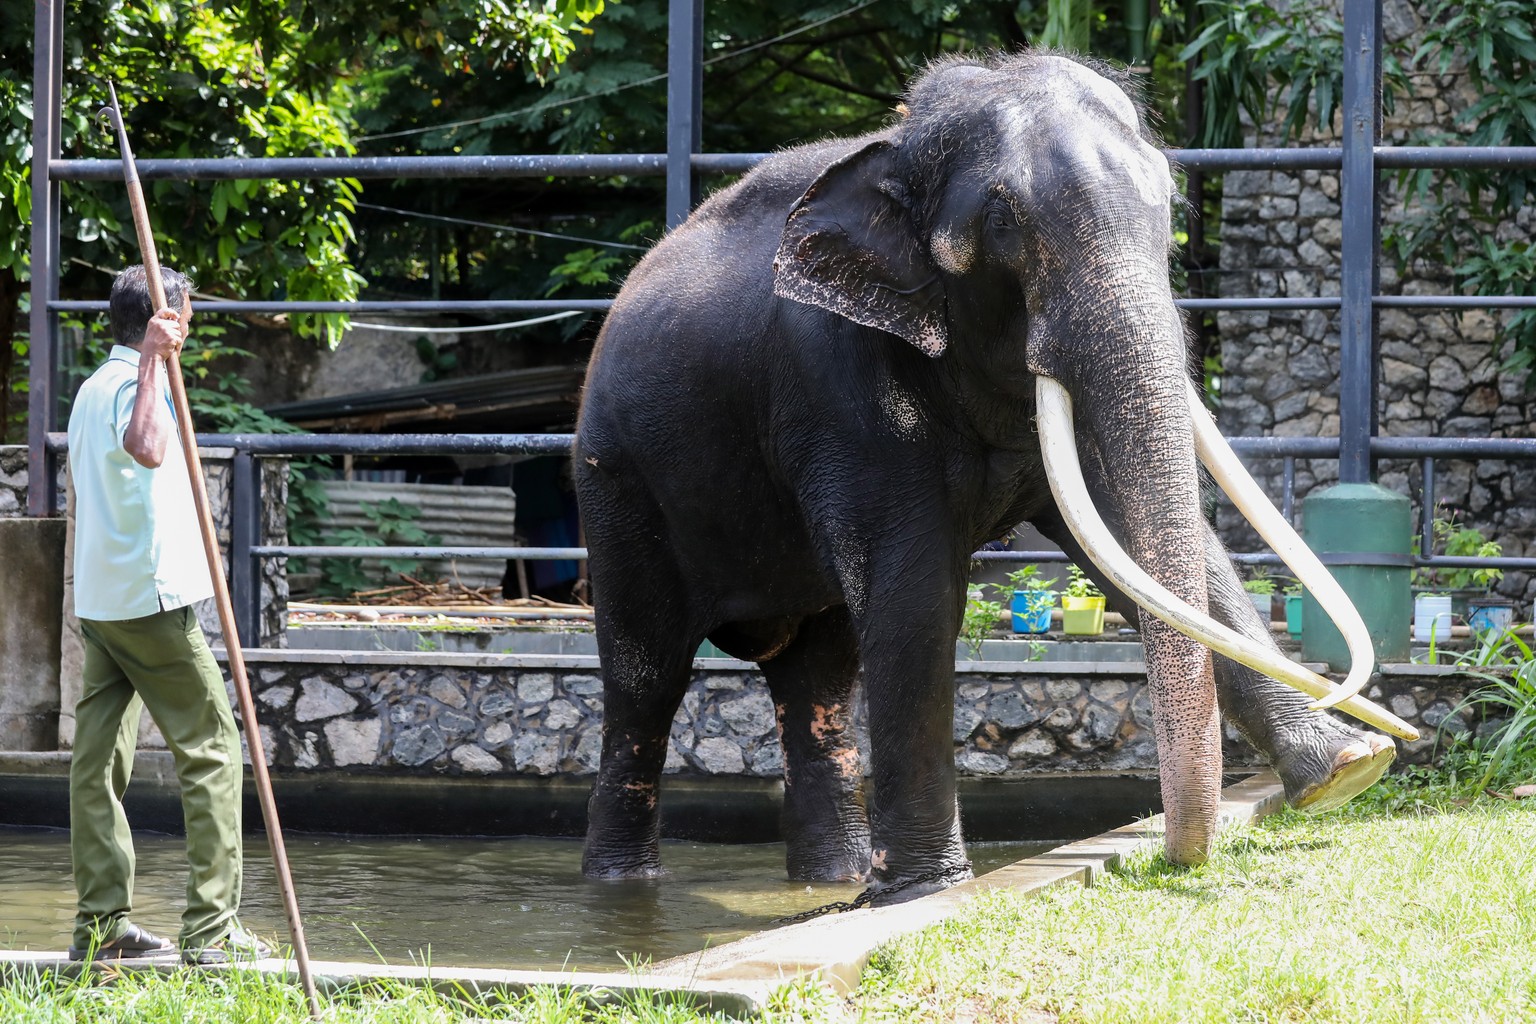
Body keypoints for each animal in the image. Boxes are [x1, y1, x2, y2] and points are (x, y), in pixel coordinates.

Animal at [577, 52, 1413, 902]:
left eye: (1168, 201)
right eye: (1005, 222)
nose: (1179, 855)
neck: (900, 146)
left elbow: (1131, 545)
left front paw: (1347, 769)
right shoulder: (835, 383)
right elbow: (916, 597)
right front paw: (929, 890)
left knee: (818, 679)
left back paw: (828, 884)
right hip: (616, 481)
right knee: (646, 677)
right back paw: (624, 885)